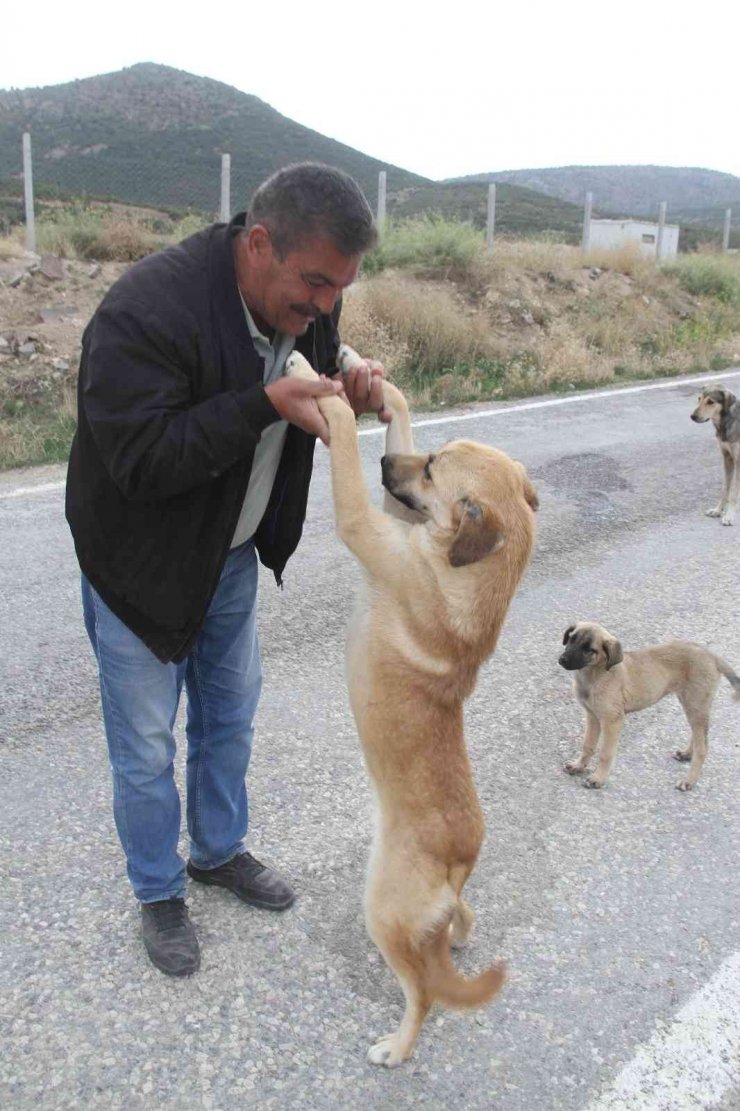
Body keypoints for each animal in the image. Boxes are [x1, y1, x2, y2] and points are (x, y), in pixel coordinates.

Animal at [283, 344, 535, 1066]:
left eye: (431, 467)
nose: (386, 469)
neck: (467, 569)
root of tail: (457, 863)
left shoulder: (365, 521)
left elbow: (340, 439)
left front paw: (316, 381)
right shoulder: (393, 518)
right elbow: (396, 412)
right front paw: (365, 377)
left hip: (381, 909)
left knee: (422, 990)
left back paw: (396, 1047)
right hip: (429, 909)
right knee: (453, 929)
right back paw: (459, 932)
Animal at [560, 626, 737, 791]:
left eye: (589, 650)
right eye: (571, 639)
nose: (562, 660)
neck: (595, 673)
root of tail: (712, 656)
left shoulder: (612, 721)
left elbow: (605, 753)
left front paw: (598, 778)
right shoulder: (592, 716)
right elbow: (588, 745)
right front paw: (578, 766)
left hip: (696, 703)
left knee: (703, 747)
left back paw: (689, 781)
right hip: (693, 704)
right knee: (698, 734)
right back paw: (687, 754)